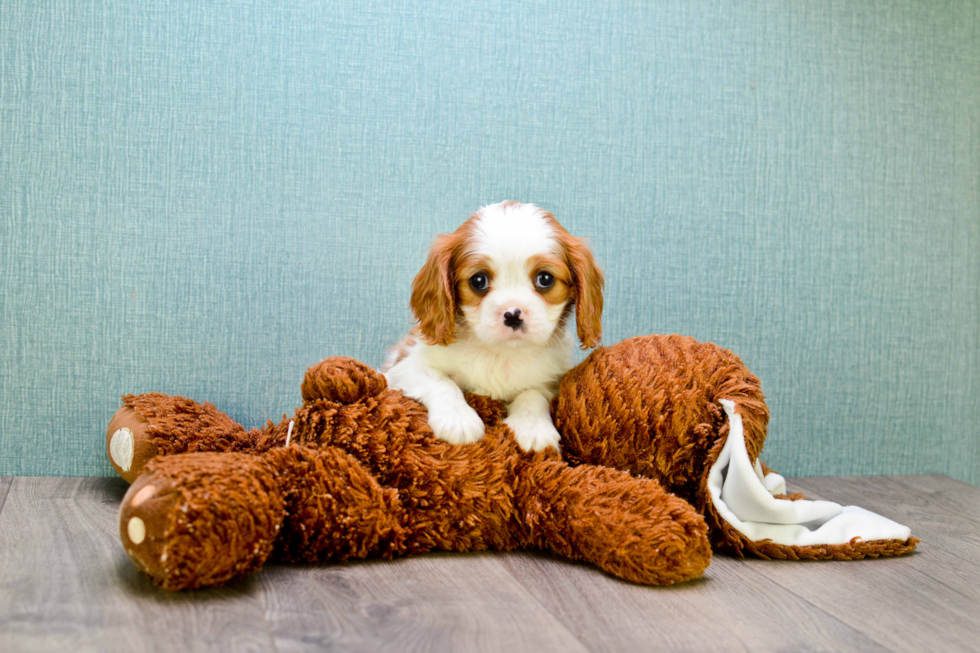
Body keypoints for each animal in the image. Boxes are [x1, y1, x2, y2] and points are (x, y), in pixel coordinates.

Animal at [384, 201, 604, 450]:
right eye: (478, 280)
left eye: (545, 279)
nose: (513, 314)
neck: (500, 353)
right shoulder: (405, 367)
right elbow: (441, 382)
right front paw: (458, 419)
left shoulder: (551, 380)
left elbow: (533, 394)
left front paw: (533, 427)